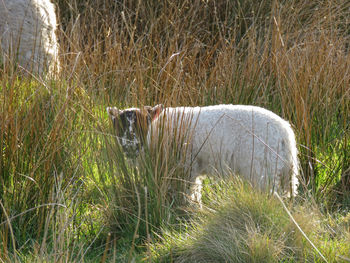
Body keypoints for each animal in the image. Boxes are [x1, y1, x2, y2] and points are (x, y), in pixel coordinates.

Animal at [106, 105, 298, 206]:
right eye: (120, 126)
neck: (155, 132)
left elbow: (188, 191)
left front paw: (190, 208)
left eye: (141, 125)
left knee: (272, 197)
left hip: (261, 168)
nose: (130, 147)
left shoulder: (186, 167)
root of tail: (285, 133)